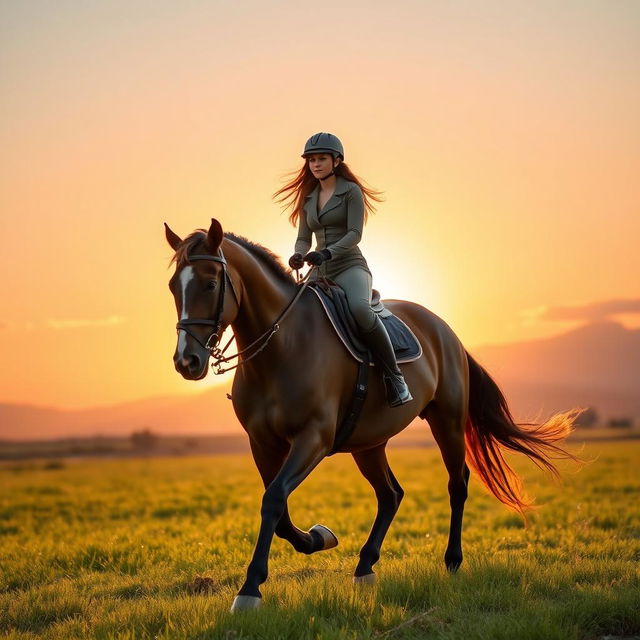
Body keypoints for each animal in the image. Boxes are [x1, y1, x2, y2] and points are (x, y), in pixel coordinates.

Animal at [162, 219, 576, 608]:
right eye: (172, 287)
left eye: (210, 284)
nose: (187, 361)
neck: (282, 346)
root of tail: (445, 330)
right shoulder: (262, 444)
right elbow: (278, 509)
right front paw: (318, 538)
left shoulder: (313, 439)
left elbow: (275, 499)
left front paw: (250, 589)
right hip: (369, 444)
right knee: (390, 494)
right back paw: (365, 566)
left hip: (447, 422)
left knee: (456, 485)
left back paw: (452, 560)